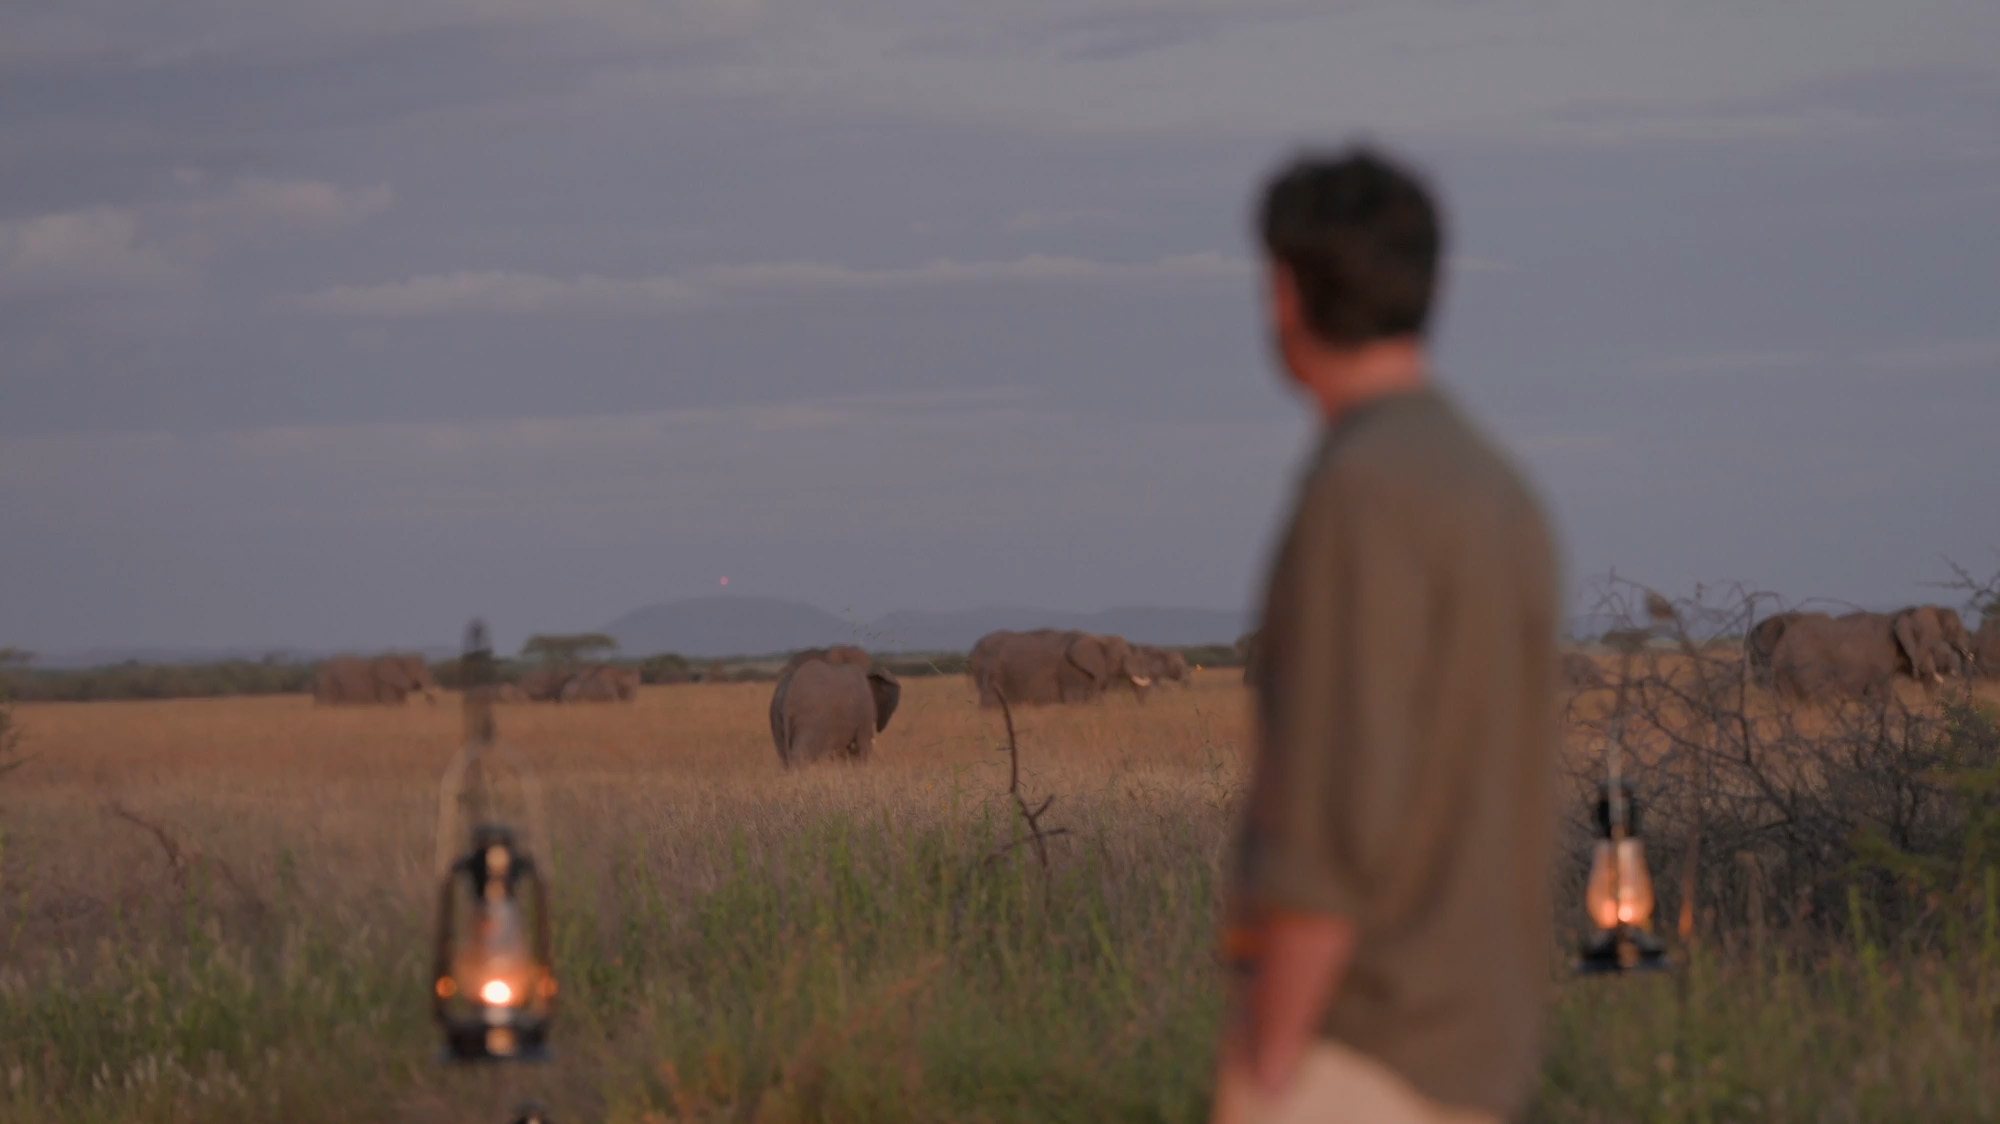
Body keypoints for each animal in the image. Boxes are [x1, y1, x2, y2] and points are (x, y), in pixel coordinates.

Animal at [768, 646, 900, 767]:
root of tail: (788, 693)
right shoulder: (865, 710)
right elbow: (863, 744)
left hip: (776, 715)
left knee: (783, 753)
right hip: (807, 718)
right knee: (800, 754)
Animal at [973, 629, 1153, 708]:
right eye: (1120, 659)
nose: (1141, 708)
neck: (1100, 638)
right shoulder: (1071, 670)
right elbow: (1076, 700)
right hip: (992, 672)